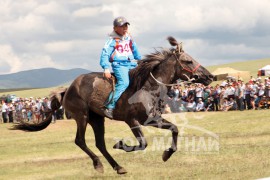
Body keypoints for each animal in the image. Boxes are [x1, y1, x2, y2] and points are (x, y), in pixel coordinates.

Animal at [13, 36, 214, 174]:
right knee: (80, 141)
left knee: (100, 143)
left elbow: (174, 129)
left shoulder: (153, 119)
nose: (210, 76)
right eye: (188, 61)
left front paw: (166, 154)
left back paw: (118, 167)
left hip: (97, 119)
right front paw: (120, 144)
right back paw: (98, 164)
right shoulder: (132, 120)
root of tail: (67, 89)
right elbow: (143, 143)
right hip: (82, 116)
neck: (148, 87)